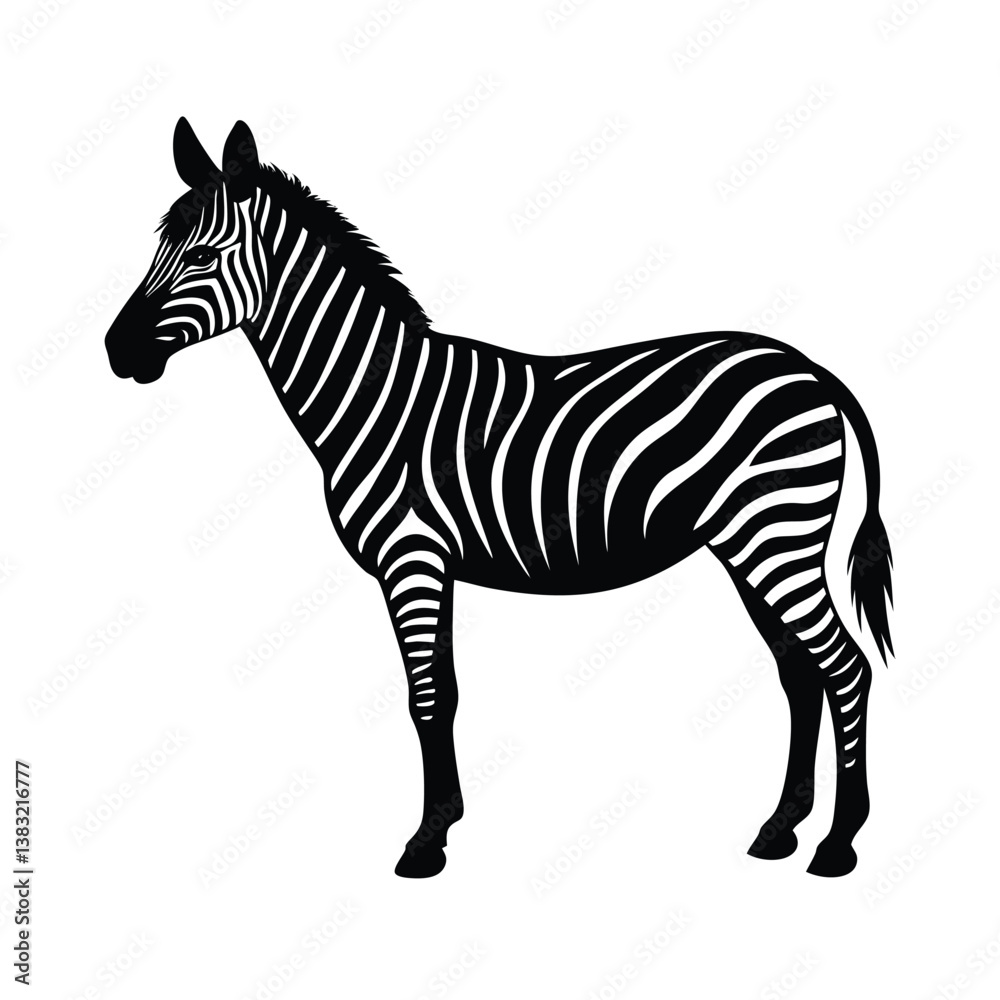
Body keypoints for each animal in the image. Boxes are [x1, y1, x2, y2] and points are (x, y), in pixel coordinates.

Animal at [105, 118, 893, 879]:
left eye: (204, 256)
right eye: (158, 243)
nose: (116, 352)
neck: (375, 396)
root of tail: (811, 368)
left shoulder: (412, 557)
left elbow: (428, 695)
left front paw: (425, 843)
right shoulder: (431, 565)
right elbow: (444, 691)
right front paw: (444, 826)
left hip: (774, 534)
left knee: (844, 667)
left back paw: (839, 844)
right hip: (752, 544)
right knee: (801, 672)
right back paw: (781, 829)